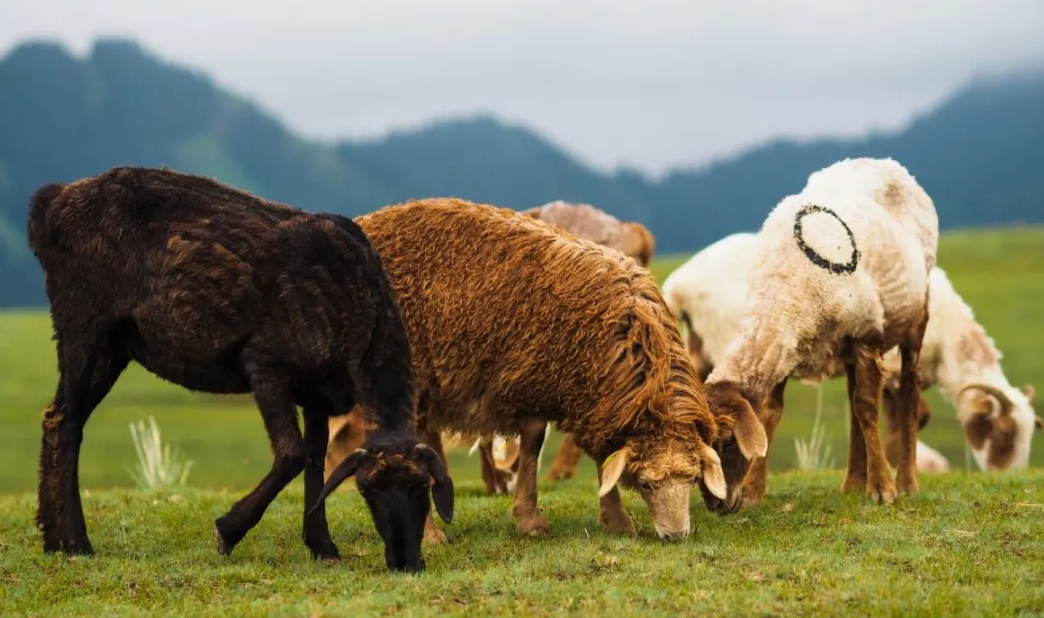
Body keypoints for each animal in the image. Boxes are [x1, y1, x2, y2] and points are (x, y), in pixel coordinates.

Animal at [313, 196, 764, 542]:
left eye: (690, 478)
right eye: (647, 482)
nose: (676, 535)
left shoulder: (551, 386)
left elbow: (541, 448)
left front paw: (539, 519)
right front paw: (615, 519)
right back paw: (427, 534)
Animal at [697, 157, 935, 511]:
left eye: (727, 442)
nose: (716, 506)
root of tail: (885, 162)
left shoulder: (867, 334)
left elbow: (868, 407)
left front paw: (882, 488)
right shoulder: (783, 345)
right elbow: (771, 413)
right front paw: (754, 491)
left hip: (915, 318)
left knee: (907, 394)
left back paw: (907, 482)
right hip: (847, 345)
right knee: (852, 401)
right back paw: (853, 481)